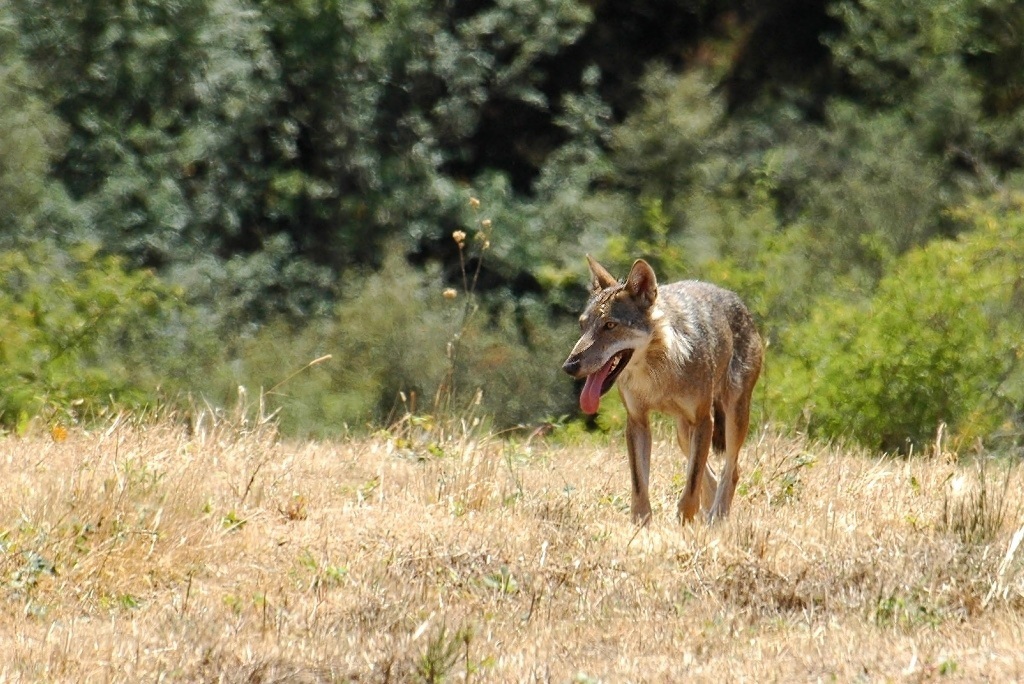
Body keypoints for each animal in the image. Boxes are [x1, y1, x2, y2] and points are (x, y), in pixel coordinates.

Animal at [562, 256, 763, 525]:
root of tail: (739, 302)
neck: (658, 374)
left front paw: (684, 524)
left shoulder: (703, 420)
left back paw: (717, 519)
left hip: (731, 420)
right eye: (583, 326)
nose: (569, 366)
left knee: (731, 471)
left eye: (610, 325)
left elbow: (690, 488)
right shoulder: (637, 421)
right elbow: (640, 485)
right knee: (711, 477)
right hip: (683, 434)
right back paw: (709, 518)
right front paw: (641, 527)